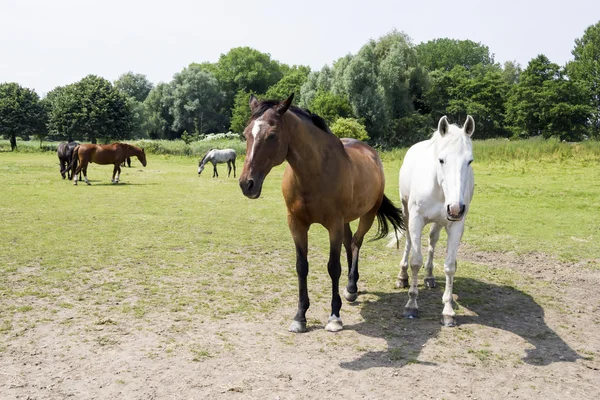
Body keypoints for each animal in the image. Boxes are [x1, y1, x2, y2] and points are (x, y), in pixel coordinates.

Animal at [239, 93, 404, 332]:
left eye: (272, 135)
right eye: (246, 134)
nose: (247, 184)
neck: (314, 174)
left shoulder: (333, 225)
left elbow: (333, 267)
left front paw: (334, 316)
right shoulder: (296, 224)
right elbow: (302, 267)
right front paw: (300, 316)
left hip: (367, 215)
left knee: (356, 243)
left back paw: (351, 286)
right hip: (345, 221)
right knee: (349, 243)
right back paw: (351, 288)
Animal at [396, 114, 476, 326]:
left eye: (470, 161)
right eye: (441, 160)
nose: (456, 208)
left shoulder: (455, 225)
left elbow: (450, 266)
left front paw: (448, 311)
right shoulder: (416, 219)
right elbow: (415, 261)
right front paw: (411, 305)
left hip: (441, 221)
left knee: (432, 240)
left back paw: (430, 277)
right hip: (407, 212)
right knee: (408, 242)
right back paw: (402, 276)